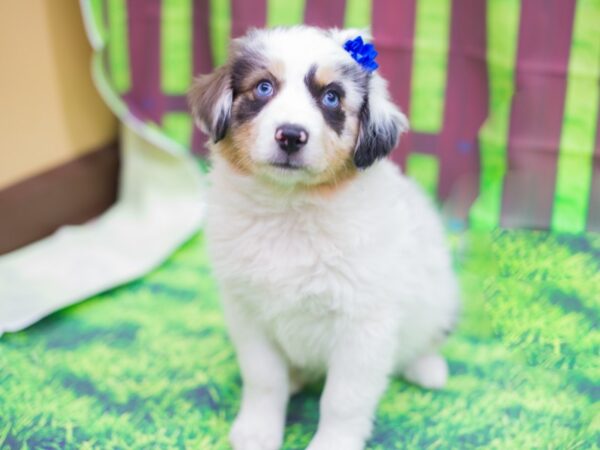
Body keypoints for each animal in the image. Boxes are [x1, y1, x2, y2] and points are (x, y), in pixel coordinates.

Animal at [189, 27, 460, 450]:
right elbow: (264, 379)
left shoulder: (364, 324)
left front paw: (333, 442)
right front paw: (257, 431)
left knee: (429, 336)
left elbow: (343, 399)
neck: (290, 209)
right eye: (264, 87)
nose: (290, 135)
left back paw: (428, 368)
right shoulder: (248, 313)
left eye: (331, 97)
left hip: (442, 295)